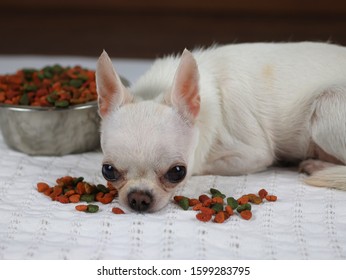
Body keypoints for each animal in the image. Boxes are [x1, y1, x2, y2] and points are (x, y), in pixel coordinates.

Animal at [96, 42, 346, 211]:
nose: (139, 198)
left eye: (177, 172)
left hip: (326, 107)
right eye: (108, 170)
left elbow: (204, 164)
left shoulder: (254, 155)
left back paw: (317, 165)